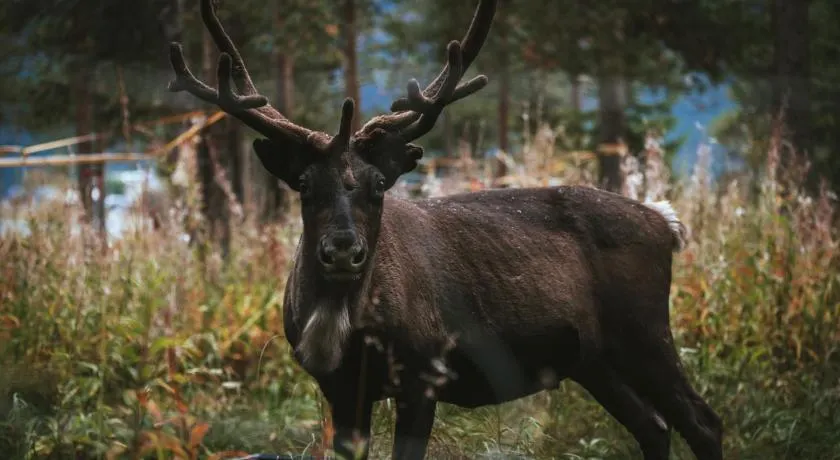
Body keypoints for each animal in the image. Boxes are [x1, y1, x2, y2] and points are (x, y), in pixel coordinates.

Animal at [166, 1, 724, 459]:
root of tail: (663, 221)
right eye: (303, 183)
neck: (344, 320)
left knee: (703, 422)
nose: (343, 251)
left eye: (378, 185)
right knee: (653, 426)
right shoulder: (340, 387)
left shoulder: (424, 375)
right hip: (593, 359)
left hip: (644, 330)